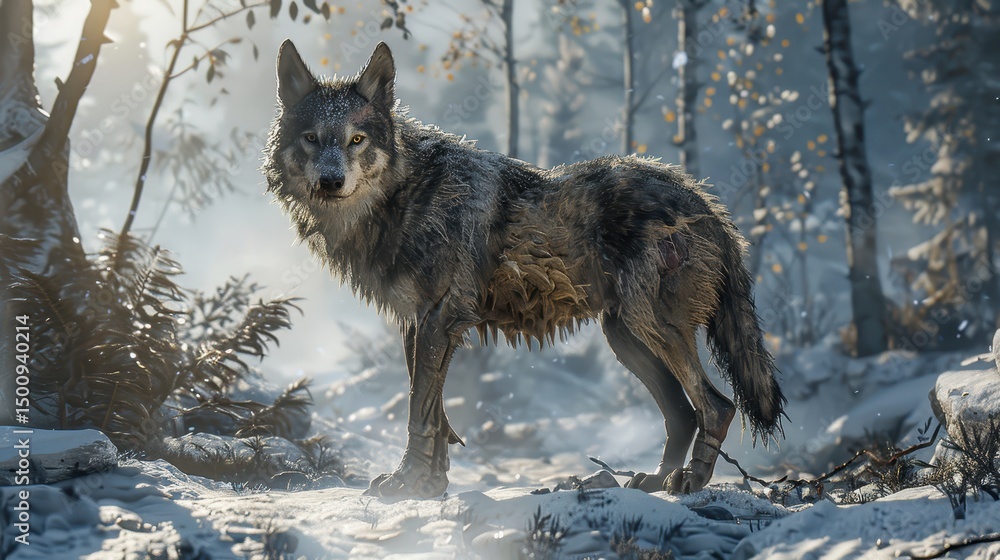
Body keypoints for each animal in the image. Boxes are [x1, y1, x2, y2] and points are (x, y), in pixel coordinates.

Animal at [263, 40, 786, 498]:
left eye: (356, 140)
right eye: (311, 139)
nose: (331, 181)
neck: (407, 195)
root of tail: (706, 202)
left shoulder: (440, 319)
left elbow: (420, 412)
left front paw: (406, 483)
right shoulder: (419, 324)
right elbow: (436, 414)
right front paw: (431, 484)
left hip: (650, 328)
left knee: (716, 406)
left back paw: (689, 481)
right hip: (624, 337)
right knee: (681, 412)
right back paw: (656, 480)